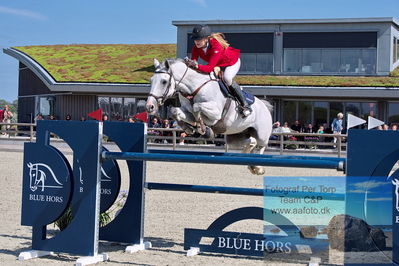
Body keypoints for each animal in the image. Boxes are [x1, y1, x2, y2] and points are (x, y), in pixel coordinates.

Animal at [147, 58, 276, 175]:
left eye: (164, 81)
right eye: (151, 80)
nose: (150, 106)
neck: (195, 88)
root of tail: (265, 106)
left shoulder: (215, 113)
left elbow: (196, 108)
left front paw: (203, 129)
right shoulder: (185, 110)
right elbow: (175, 111)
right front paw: (190, 128)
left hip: (262, 135)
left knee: (261, 146)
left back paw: (257, 168)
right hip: (235, 137)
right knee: (251, 142)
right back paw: (250, 162)